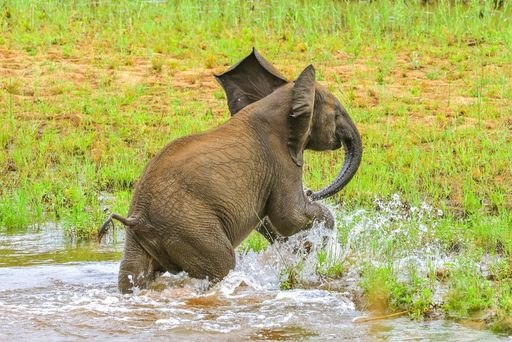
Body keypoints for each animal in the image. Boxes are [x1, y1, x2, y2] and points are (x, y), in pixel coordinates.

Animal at [99, 48, 364, 294]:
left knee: (132, 273)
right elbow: (288, 216)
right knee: (222, 264)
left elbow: (273, 221)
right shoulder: (281, 160)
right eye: (337, 113)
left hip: (147, 236)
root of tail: (136, 218)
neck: (286, 94)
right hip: (190, 227)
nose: (311, 191)